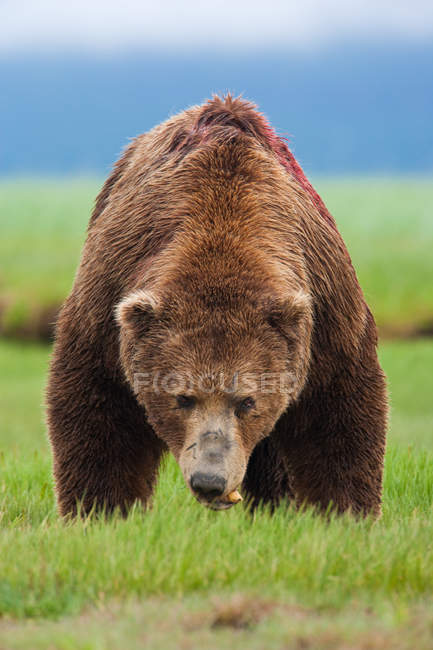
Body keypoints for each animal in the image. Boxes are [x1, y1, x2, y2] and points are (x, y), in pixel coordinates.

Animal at [45, 93, 386, 516]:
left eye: (246, 401)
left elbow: (338, 416)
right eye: (183, 397)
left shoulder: (325, 318)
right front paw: (99, 510)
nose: (210, 481)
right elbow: (98, 414)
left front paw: (344, 512)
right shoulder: (110, 301)